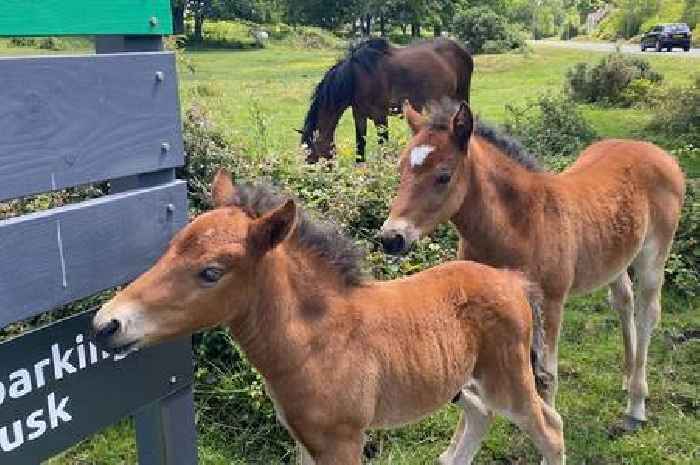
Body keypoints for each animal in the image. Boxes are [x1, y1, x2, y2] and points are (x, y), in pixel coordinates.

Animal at [93, 170, 568, 464]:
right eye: (171, 247)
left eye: (211, 272)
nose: (106, 324)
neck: (315, 341)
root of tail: (511, 280)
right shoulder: (306, 439)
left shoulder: (342, 442)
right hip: (458, 381)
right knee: (480, 414)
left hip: (508, 379)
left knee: (550, 428)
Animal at [298, 39, 474, 164]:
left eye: (311, 156)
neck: (357, 77)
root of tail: (463, 50)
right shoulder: (359, 114)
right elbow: (360, 144)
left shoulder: (380, 116)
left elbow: (383, 145)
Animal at [380, 99, 688, 432]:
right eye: (400, 171)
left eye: (443, 176)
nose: (391, 238)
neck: (519, 225)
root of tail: (658, 152)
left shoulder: (550, 302)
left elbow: (546, 374)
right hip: (615, 256)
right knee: (623, 301)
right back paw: (626, 378)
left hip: (654, 254)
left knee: (647, 313)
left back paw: (636, 404)